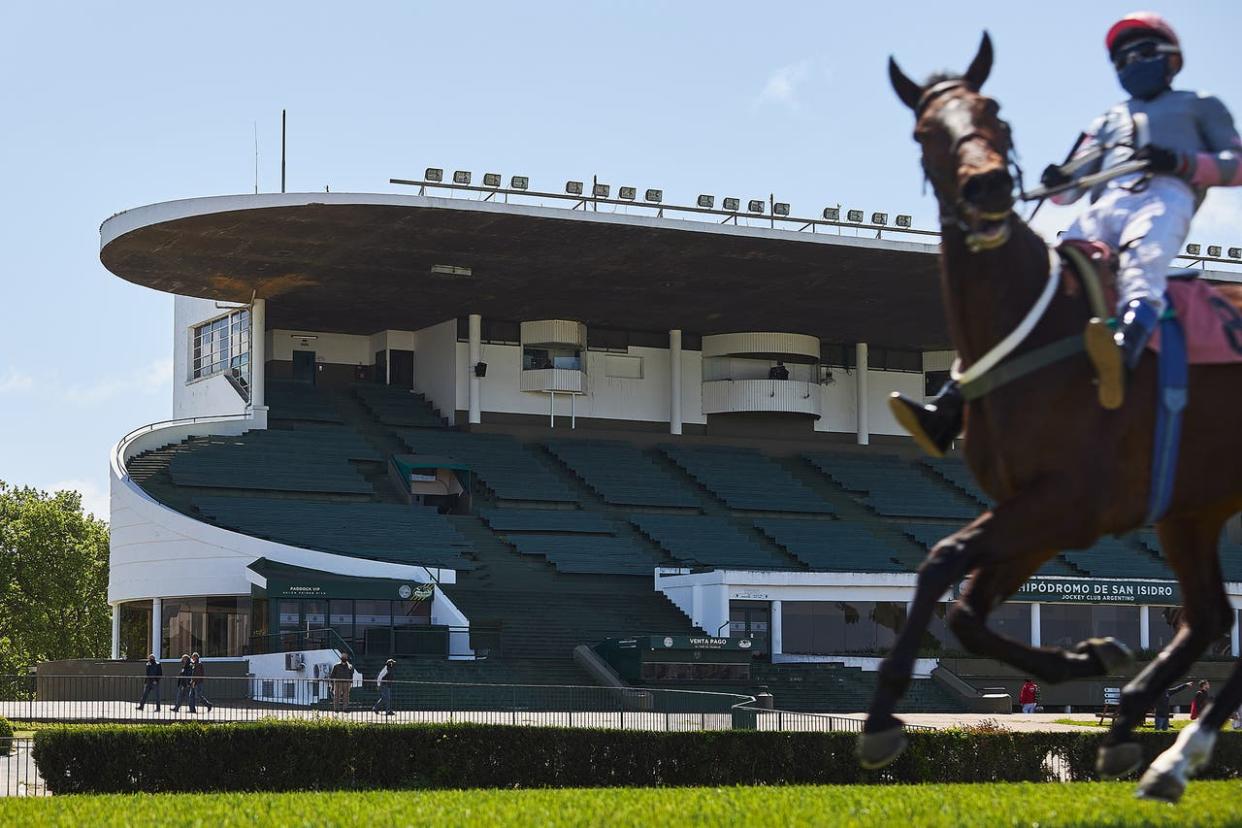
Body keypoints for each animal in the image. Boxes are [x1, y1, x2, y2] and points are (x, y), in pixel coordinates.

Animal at [859, 33, 1242, 804]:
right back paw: (1149, 741)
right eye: (925, 131)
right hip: (1193, 510)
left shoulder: (1070, 504)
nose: (987, 188)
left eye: (996, 115)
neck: (1037, 329)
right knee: (1211, 615)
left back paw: (1171, 747)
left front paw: (882, 717)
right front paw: (1090, 656)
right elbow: (963, 607)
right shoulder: (1033, 512)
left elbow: (940, 562)